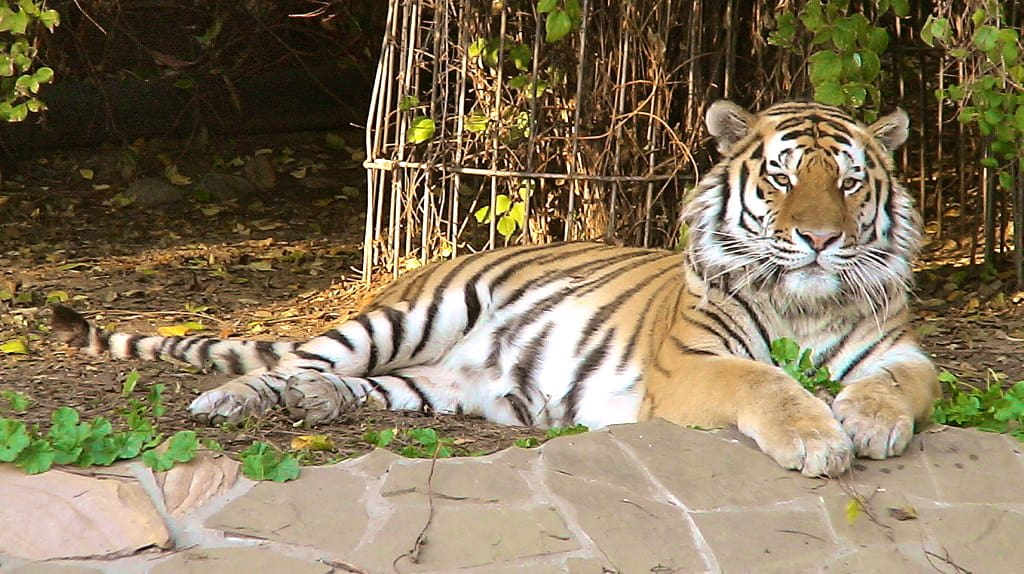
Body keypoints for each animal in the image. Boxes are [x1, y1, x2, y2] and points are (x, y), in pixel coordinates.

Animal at [54, 100, 937, 476]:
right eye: (783, 178)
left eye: (850, 182)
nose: (819, 239)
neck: (806, 303)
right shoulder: (692, 365)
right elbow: (767, 382)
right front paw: (819, 438)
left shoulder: (902, 351)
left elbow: (898, 386)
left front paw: (869, 424)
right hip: (409, 317)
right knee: (296, 360)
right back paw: (234, 402)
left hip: (433, 385)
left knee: (358, 385)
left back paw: (317, 405)